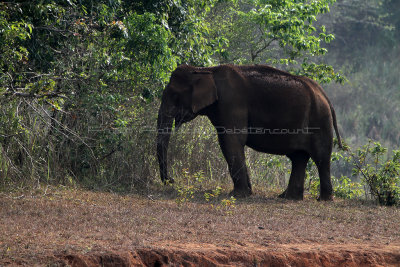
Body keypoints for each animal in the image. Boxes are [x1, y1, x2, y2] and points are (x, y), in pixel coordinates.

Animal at [155, 65, 340, 201]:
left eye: (174, 95)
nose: (171, 180)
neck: (207, 70)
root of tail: (325, 96)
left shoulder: (231, 102)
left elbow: (231, 140)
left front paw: (237, 195)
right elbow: (229, 142)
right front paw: (248, 192)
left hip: (320, 121)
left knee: (321, 157)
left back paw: (323, 199)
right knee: (299, 158)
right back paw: (288, 197)